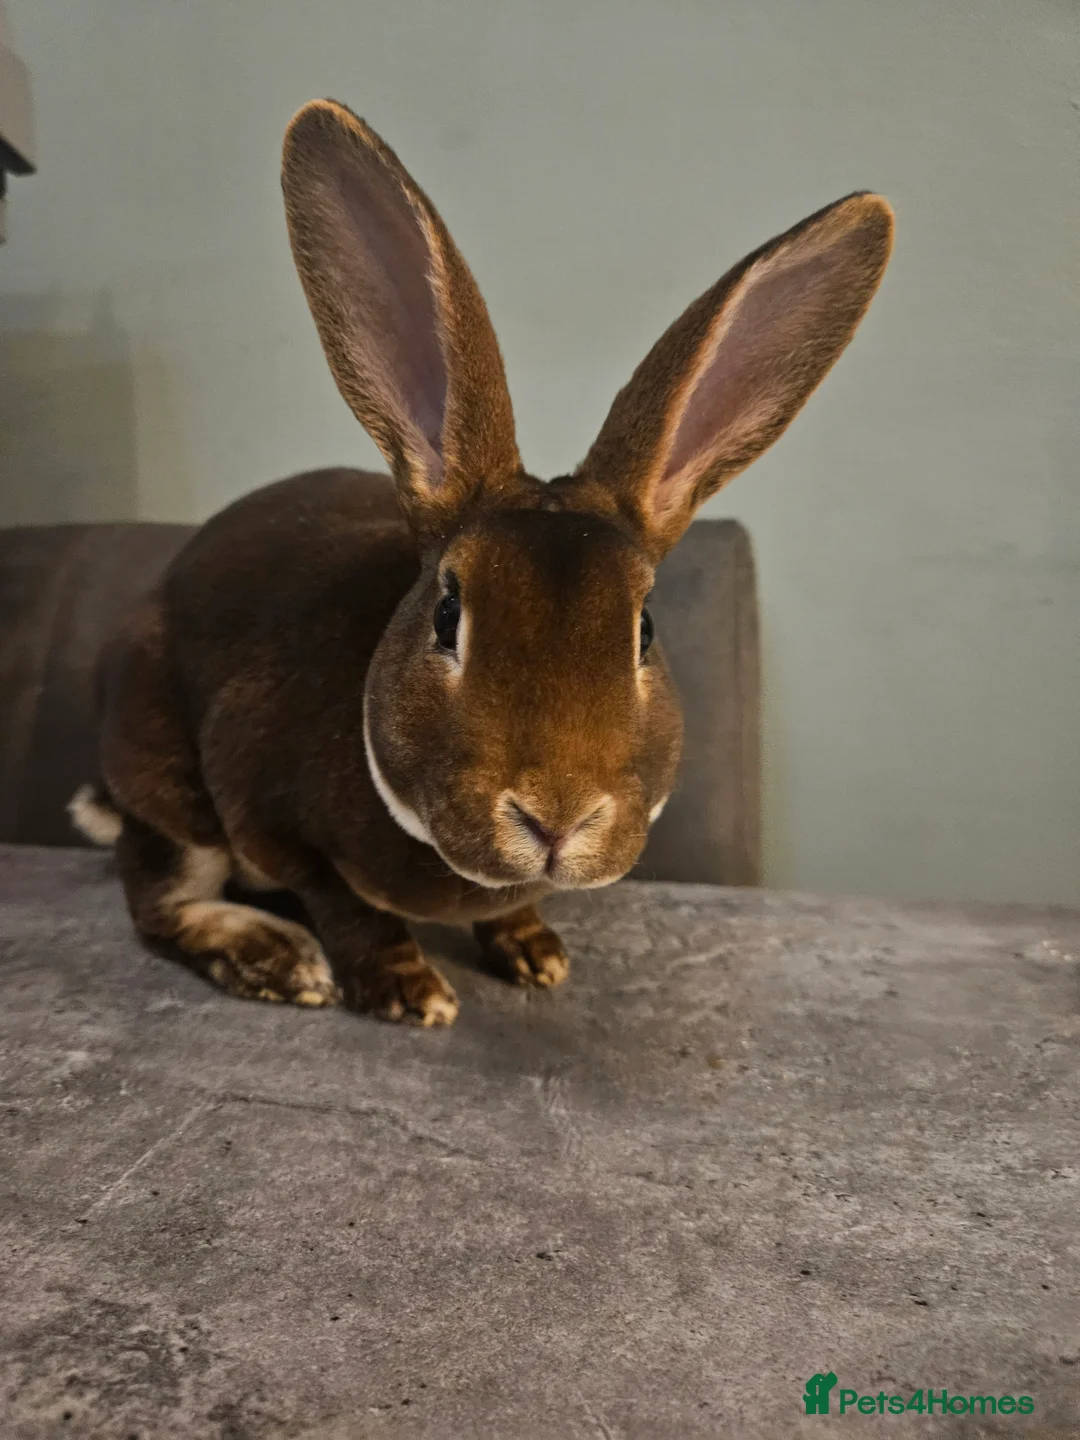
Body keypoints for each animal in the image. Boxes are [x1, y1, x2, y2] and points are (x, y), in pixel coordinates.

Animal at [70, 99, 893, 1027]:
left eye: (644, 629)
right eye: (447, 615)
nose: (556, 820)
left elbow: (509, 911)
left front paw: (538, 955)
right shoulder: (274, 820)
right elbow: (345, 906)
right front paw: (409, 992)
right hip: (164, 780)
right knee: (161, 901)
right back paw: (276, 959)